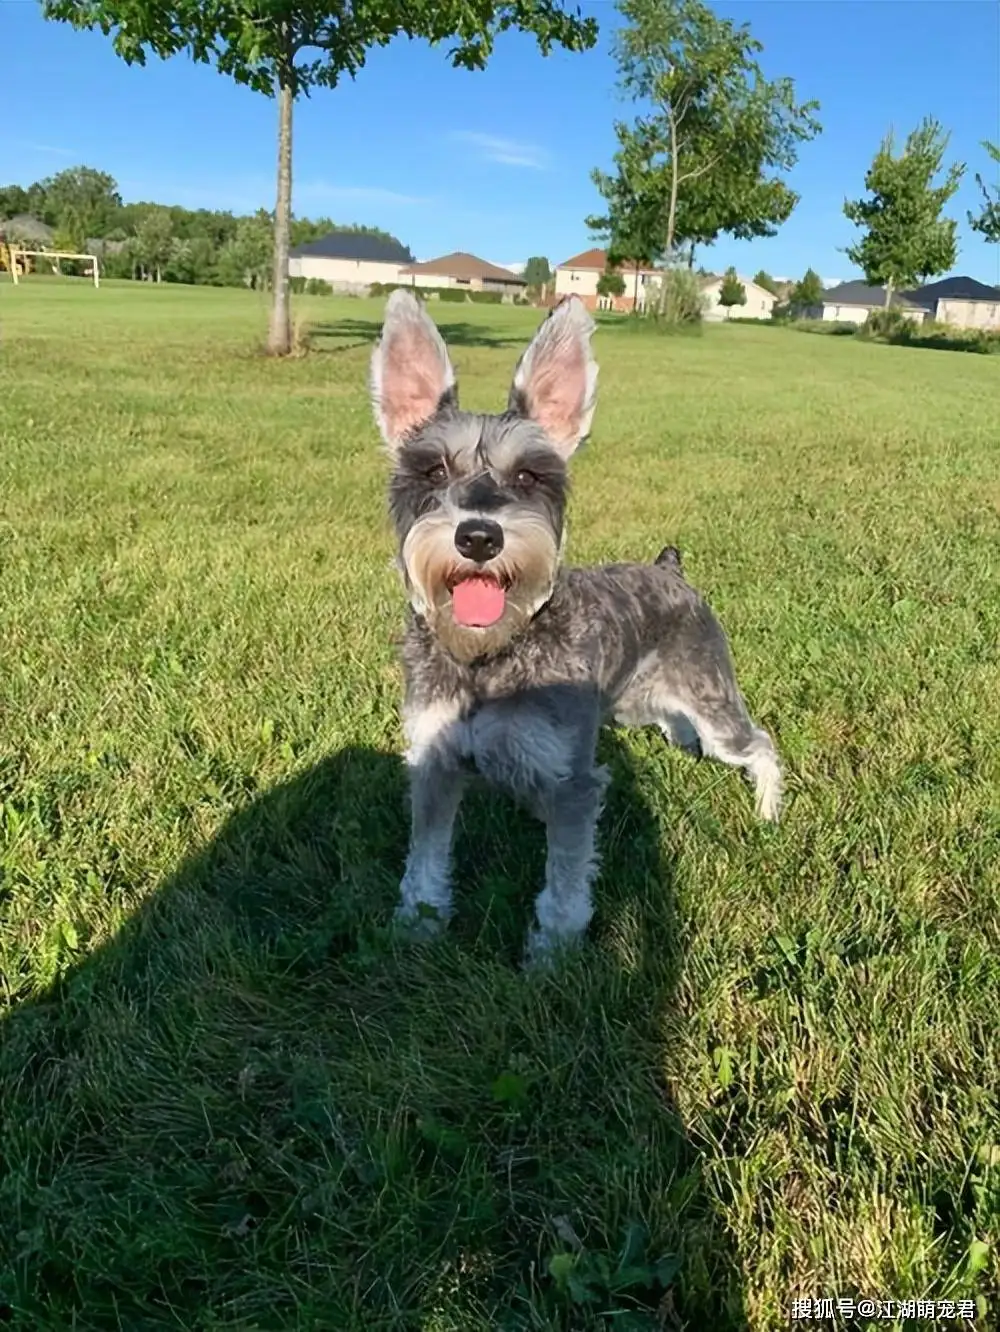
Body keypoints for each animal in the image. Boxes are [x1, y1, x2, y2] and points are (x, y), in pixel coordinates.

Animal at [370, 291, 782, 964]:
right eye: (432, 471)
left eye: (529, 476)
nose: (478, 537)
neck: (491, 656)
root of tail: (671, 570)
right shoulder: (435, 765)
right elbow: (425, 860)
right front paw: (416, 927)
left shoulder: (572, 786)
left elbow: (563, 882)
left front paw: (551, 959)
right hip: (640, 705)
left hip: (714, 701)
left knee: (760, 744)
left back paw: (769, 811)